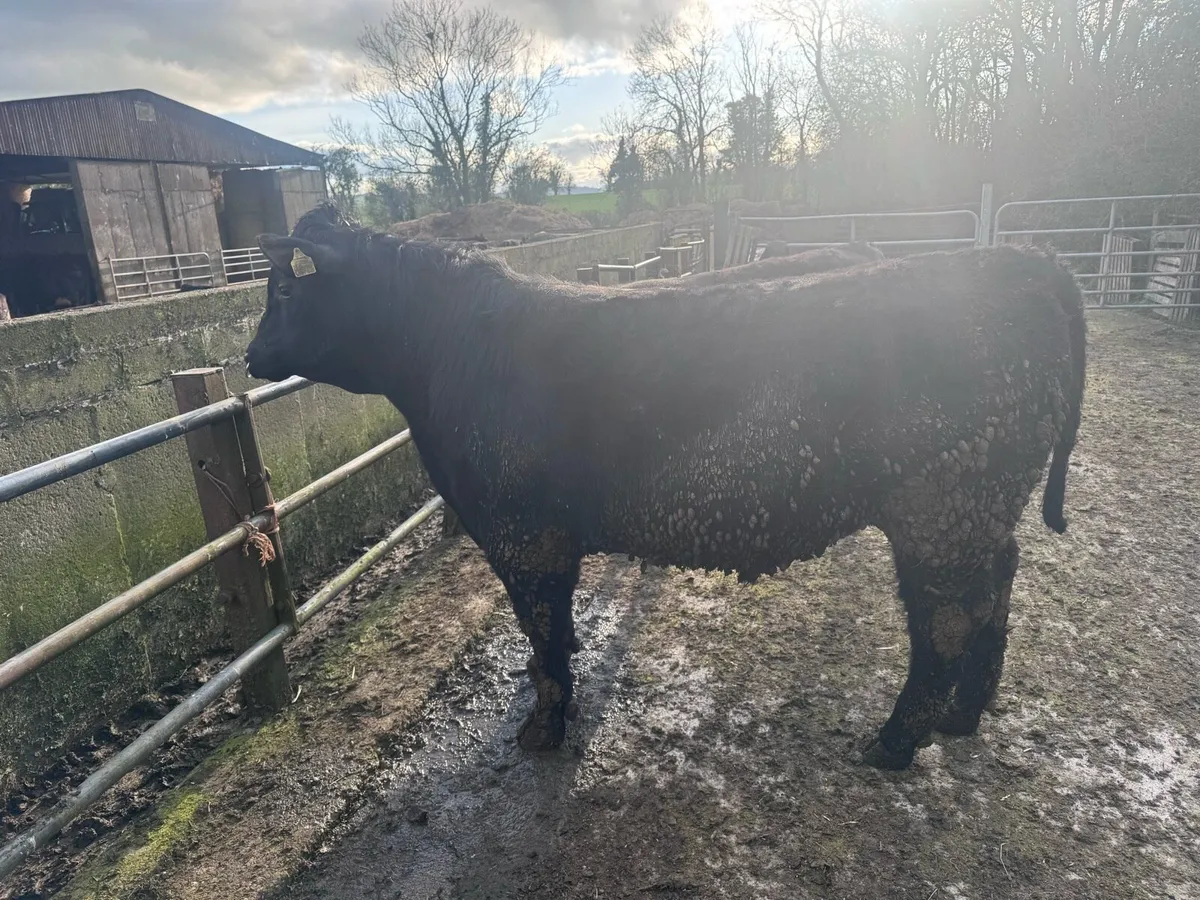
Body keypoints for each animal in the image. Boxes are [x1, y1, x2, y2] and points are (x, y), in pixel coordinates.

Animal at [246, 203, 1085, 770]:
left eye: (285, 291)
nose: (252, 355)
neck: (446, 354)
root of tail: (1021, 263)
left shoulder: (522, 532)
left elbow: (541, 627)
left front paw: (541, 730)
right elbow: (549, 630)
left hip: (943, 507)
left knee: (946, 619)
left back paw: (894, 741)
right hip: (977, 510)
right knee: (998, 587)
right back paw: (965, 715)